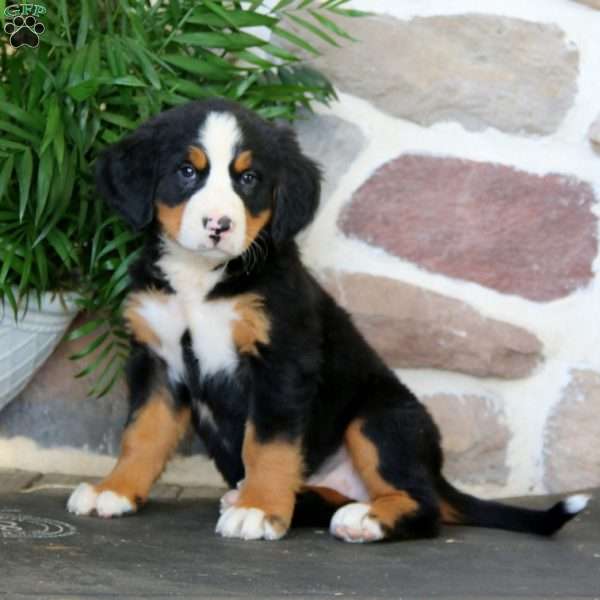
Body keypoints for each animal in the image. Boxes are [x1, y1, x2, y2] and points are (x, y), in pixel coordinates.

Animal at [65, 99, 584, 544]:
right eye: (187, 171)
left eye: (248, 178)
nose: (218, 225)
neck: (201, 281)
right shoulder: (158, 360)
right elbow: (142, 435)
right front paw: (114, 490)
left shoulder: (281, 360)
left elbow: (268, 444)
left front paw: (259, 509)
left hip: (381, 418)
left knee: (424, 507)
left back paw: (364, 519)